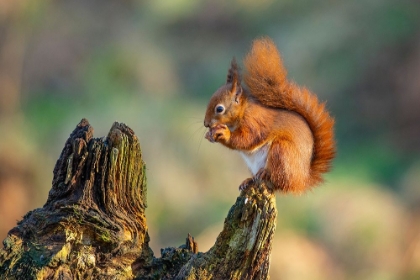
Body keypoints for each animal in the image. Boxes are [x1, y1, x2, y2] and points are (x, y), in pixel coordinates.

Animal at [203, 36, 334, 195]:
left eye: (219, 109)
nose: (206, 123)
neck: (243, 111)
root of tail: (301, 181)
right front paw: (209, 135)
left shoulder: (255, 121)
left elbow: (248, 138)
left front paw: (224, 134)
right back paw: (249, 180)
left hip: (281, 152)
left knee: (279, 182)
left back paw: (266, 174)